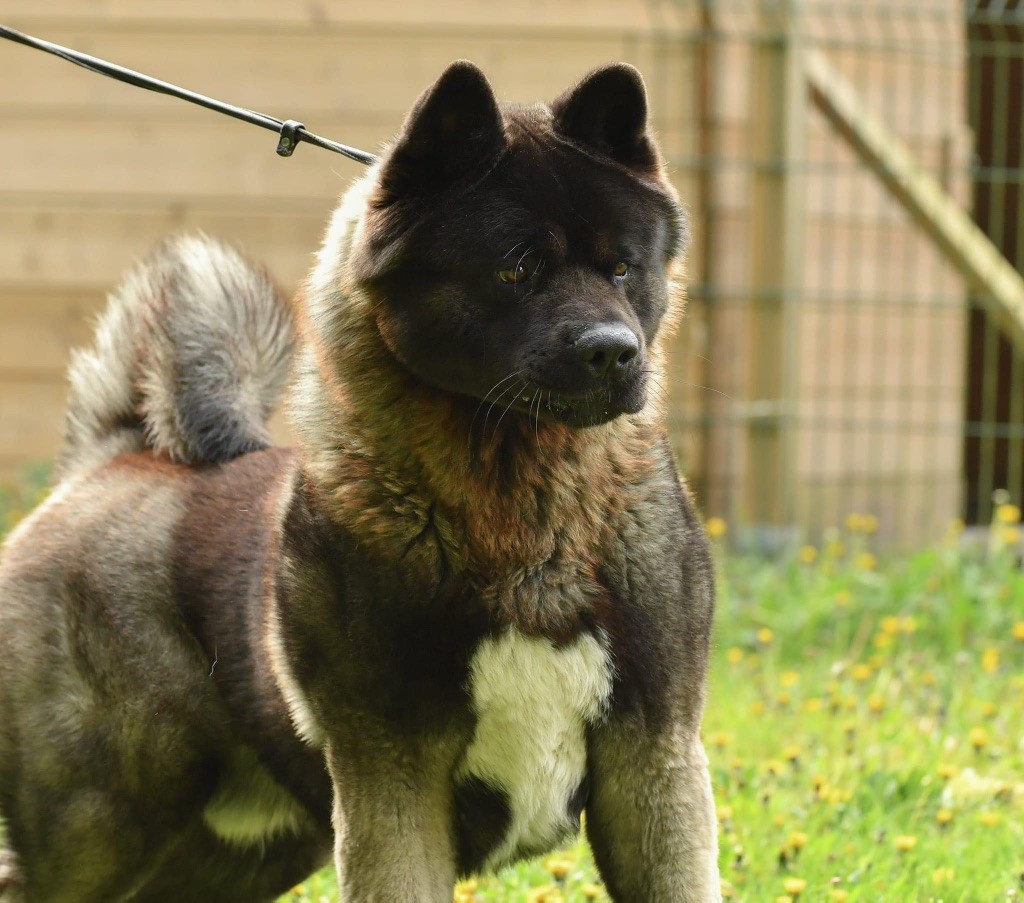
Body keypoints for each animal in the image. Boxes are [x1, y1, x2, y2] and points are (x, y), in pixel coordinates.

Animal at [0, 59, 720, 896]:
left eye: (623, 267)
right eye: (517, 268)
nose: (613, 351)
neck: (522, 506)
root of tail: (107, 458)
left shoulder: (652, 762)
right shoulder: (392, 778)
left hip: (241, 848)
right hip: (102, 816)